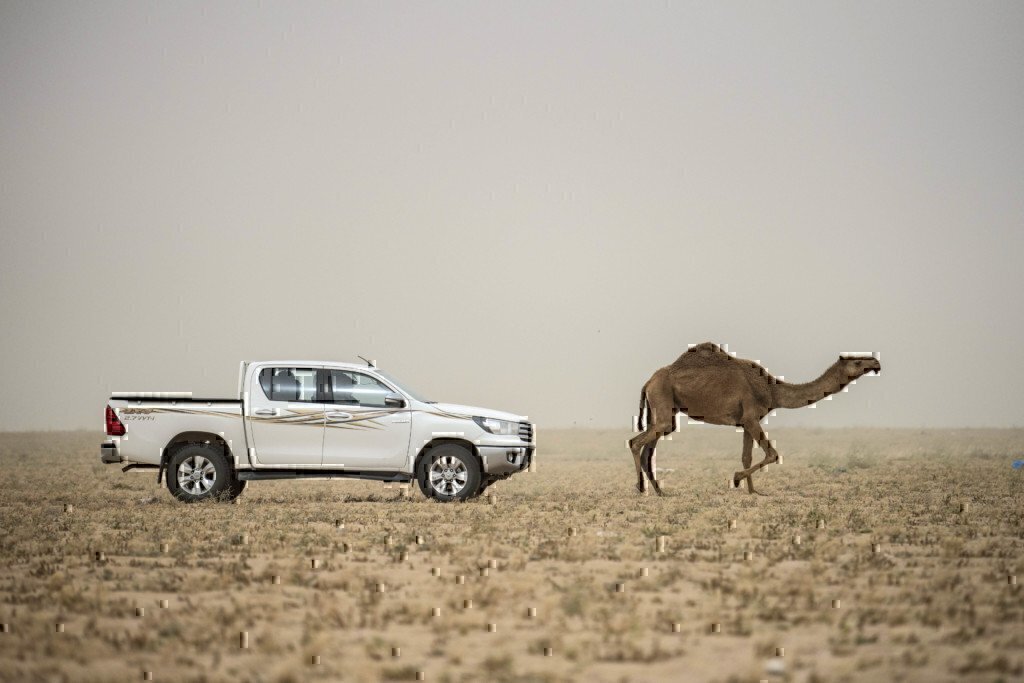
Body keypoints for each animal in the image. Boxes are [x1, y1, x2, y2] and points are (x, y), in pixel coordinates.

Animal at [626, 342, 884, 497]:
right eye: (857, 361)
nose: (876, 363)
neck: (771, 390)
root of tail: (648, 382)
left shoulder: (745, 422)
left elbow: (746, 456)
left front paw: (752, 492)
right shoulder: (751, 417)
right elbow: (772, 454)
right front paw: (736, 480)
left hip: (663, 411)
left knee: (649, 446)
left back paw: (659, 491)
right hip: (662, 401)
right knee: (635, 442)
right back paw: (641, 489)